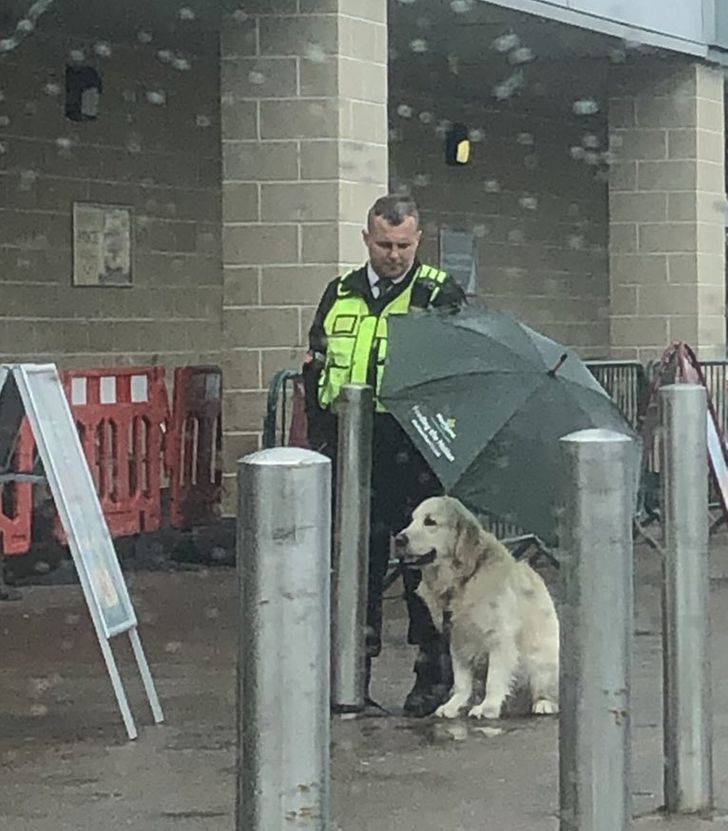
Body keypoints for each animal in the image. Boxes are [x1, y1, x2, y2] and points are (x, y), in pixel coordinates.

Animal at [398, 498, 556, 720]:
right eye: (411, 520)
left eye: (430, 522)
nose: (399, 539)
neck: (463, 580)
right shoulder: (457, 639)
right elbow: (462, 681)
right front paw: (454, 704)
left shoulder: (499, 638)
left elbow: (494, 679)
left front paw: (487, 707)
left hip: (540, 659)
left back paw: (543, 703)